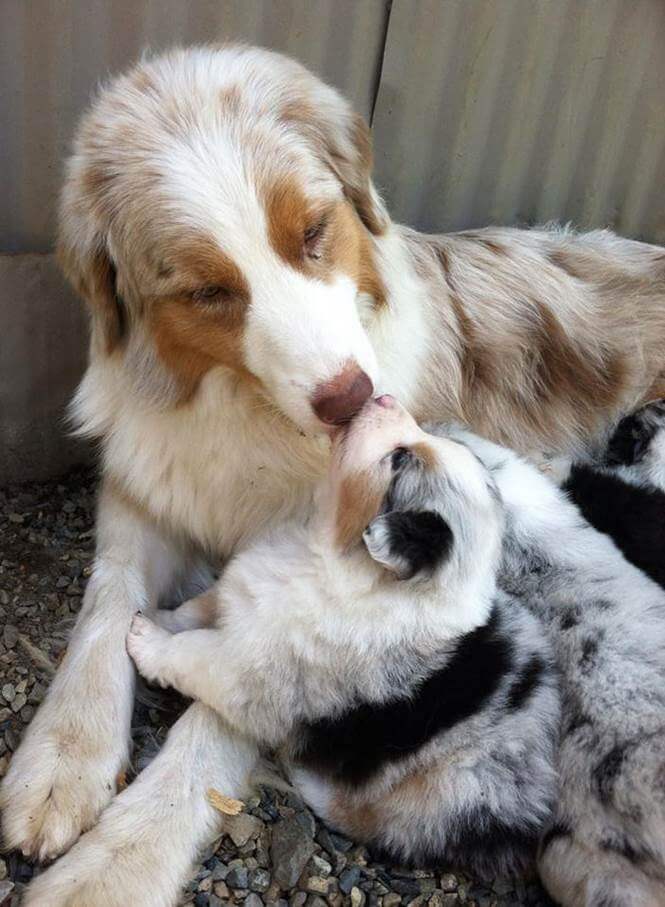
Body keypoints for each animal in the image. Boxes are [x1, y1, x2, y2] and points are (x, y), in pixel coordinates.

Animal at [126, 398, 560, 880]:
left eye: (399, 459)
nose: (382, 398)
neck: (325, 554)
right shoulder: (239, 596)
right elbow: (197, 609)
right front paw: (158, 614)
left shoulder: (243, 670)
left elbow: (188, 654)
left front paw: (144, 637)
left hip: (426, 794)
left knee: (364, 819)